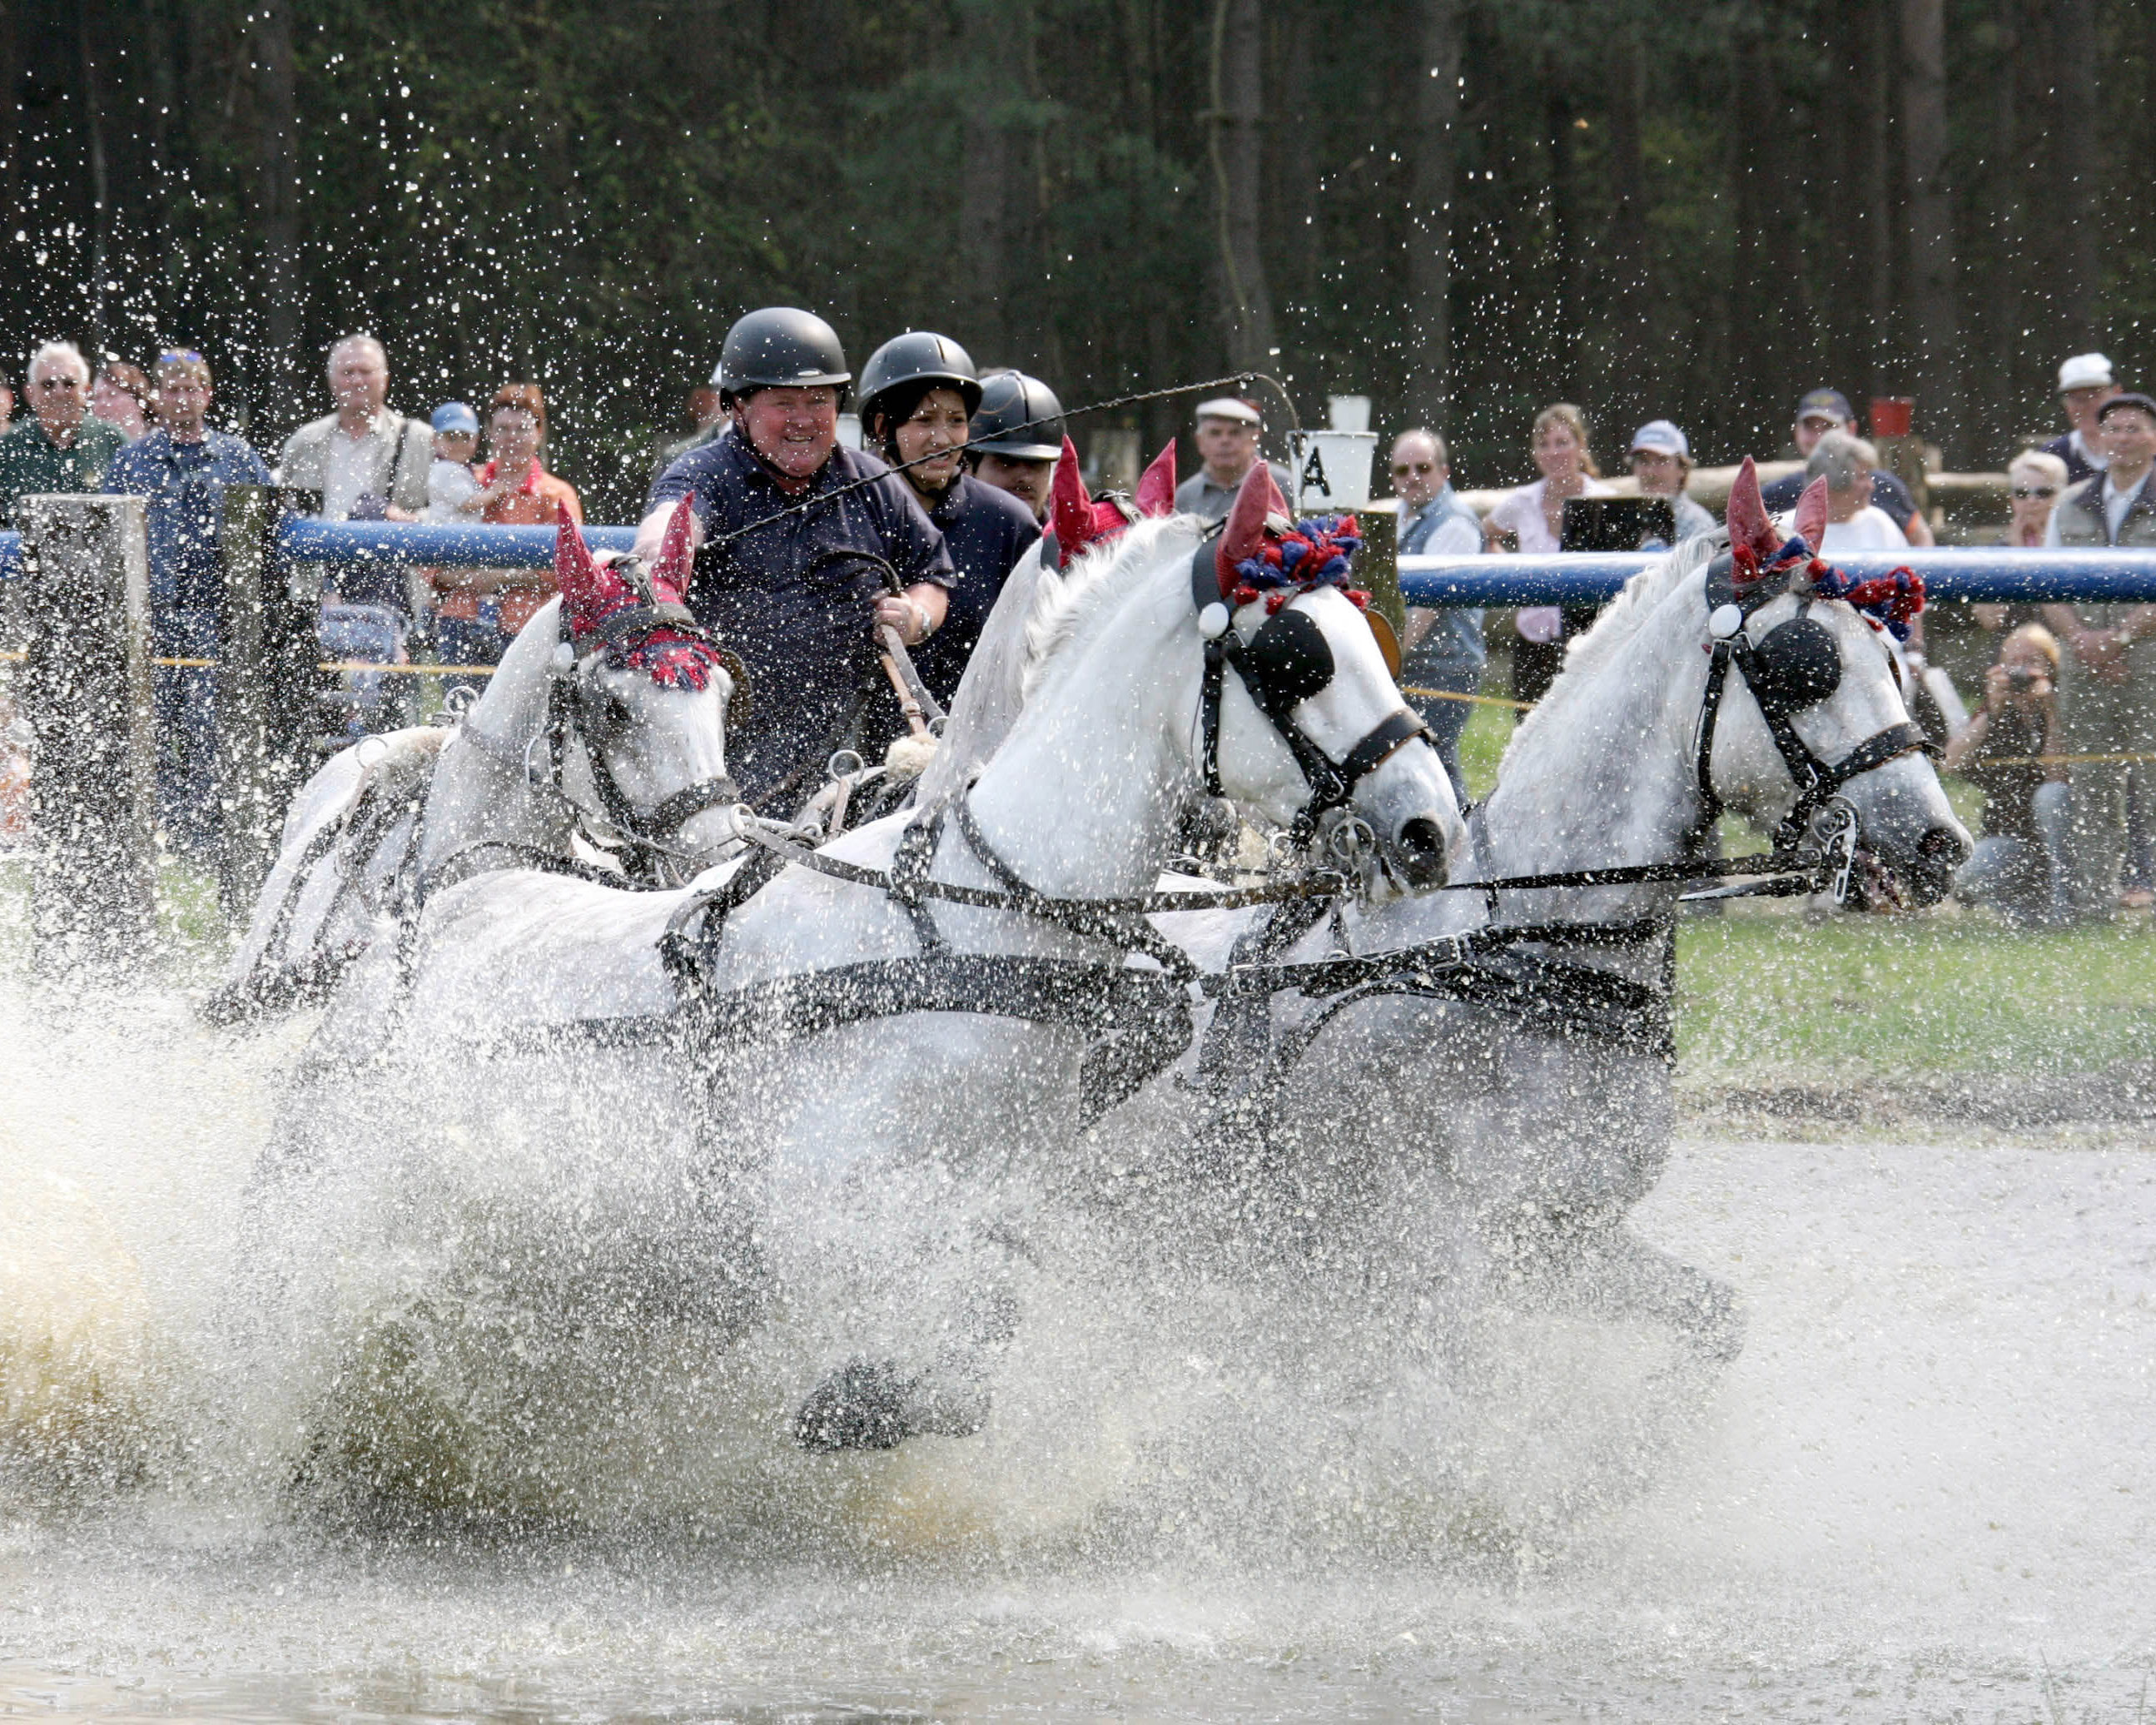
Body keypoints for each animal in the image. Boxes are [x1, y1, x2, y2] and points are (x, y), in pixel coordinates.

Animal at [1130, 465, 1975, 1354]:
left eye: (1892, 662)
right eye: (1803, 667)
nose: (1939, 844)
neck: (1527, 960)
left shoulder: (1569, 1240)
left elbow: (1714, 1328)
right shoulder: (1417, 1250)